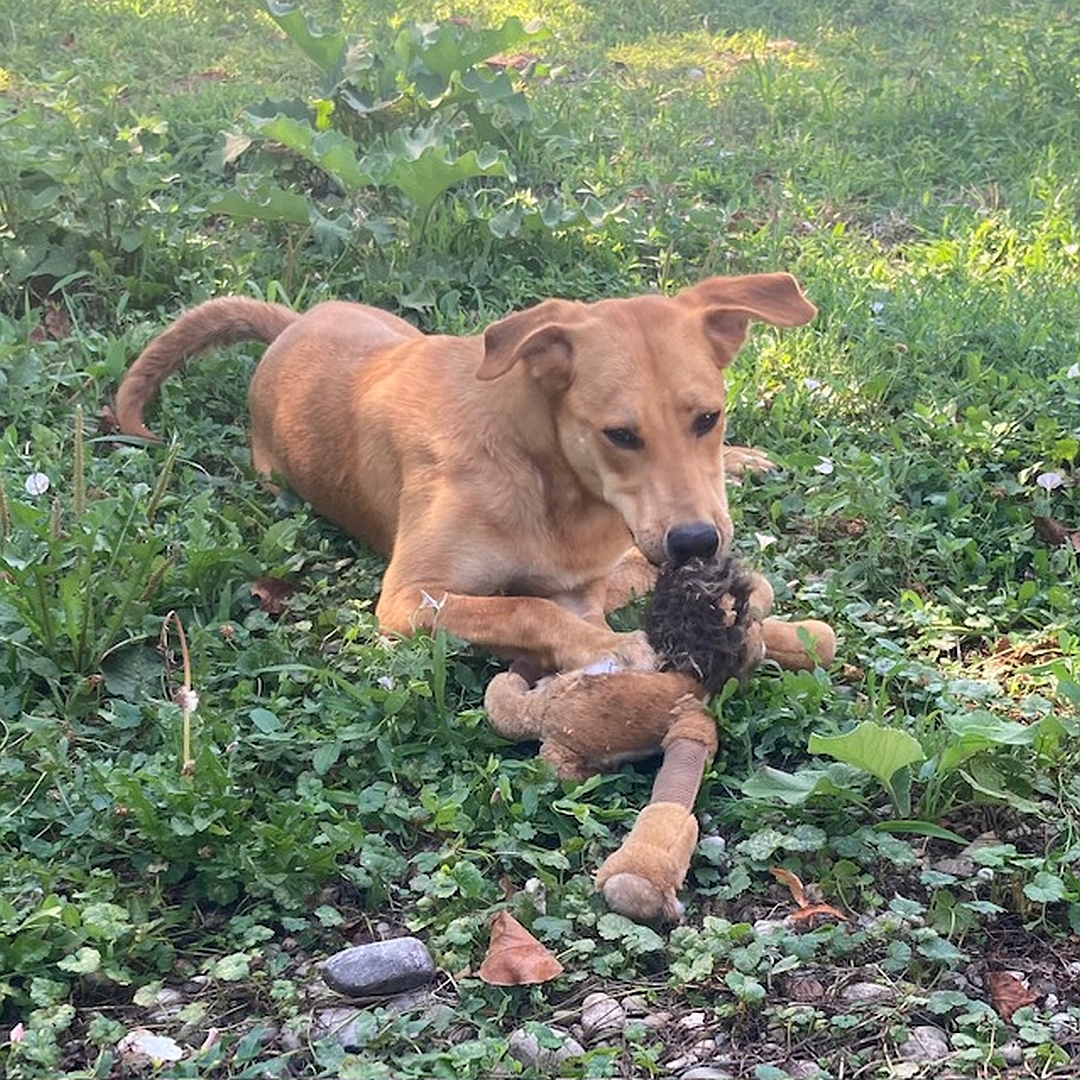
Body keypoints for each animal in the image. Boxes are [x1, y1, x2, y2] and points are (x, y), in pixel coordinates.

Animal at [116, 274, 812, 669]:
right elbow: (526, 610)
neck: (548, 479)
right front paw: (618, 648)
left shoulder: (580, 584)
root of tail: (292, 326)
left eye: (708, 417)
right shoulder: (408, 597)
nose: (697, 545)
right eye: (620, 435)